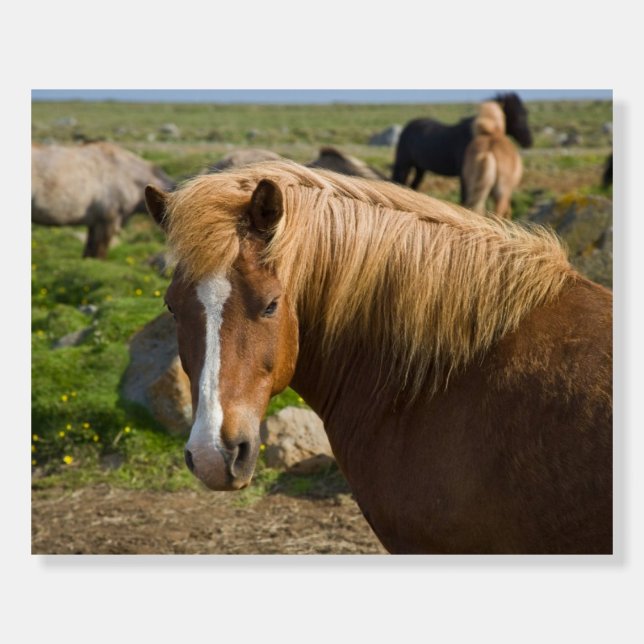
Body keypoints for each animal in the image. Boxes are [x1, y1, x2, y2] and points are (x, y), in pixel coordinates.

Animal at [392, 92, 532, 201]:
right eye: (515, 115)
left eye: (525, 113)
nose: (528, 141)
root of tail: (409, 126)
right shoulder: (465, 176)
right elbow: (465, 199)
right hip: (404, 165)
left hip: (420, 168)